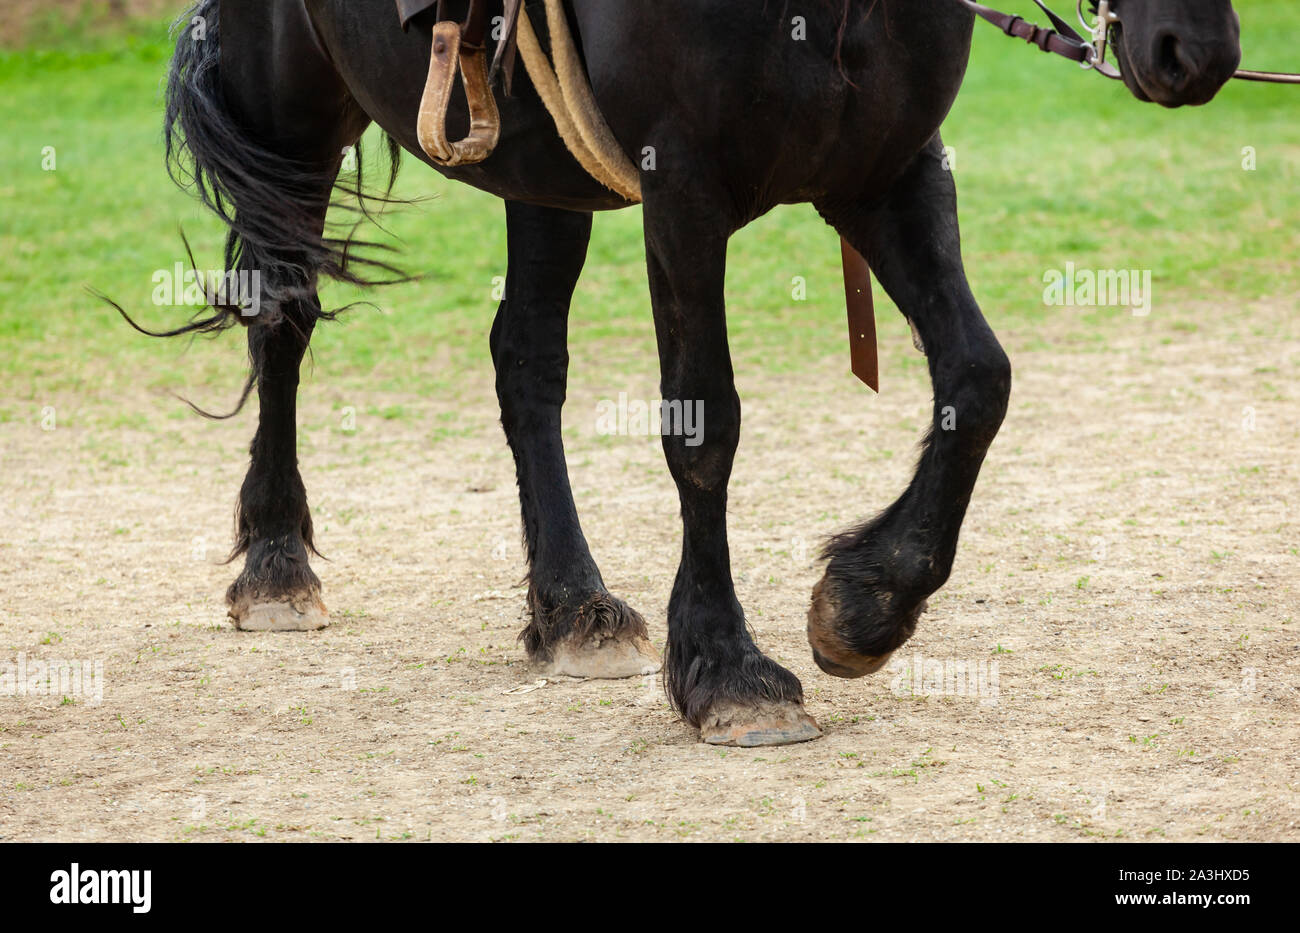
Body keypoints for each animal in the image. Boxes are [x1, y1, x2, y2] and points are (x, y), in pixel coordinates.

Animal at [129, 0, 1237, 743]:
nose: (1200, 50)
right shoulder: (685, 192)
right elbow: (705, 424)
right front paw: (727, 670)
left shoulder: (888, 172)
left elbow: (978, 377)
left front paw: (866, 601)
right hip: (290, 117)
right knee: (282, 319)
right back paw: (276, 565)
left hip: (538, 170)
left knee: (525, 362)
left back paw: (571, 608)